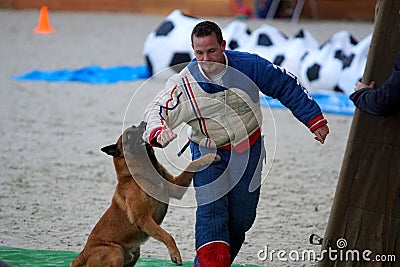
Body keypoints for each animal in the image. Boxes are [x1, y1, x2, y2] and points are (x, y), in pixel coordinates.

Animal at [70, 122, 217, 267]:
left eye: (135, 126)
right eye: (129, 135)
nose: (143, 123)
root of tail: (83, 253)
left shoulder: (176, 187)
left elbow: (192, 165)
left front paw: (209, 157)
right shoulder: (144, 219)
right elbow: (167, 235)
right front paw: (175, 254)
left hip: (134, 254)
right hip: (115, 251)